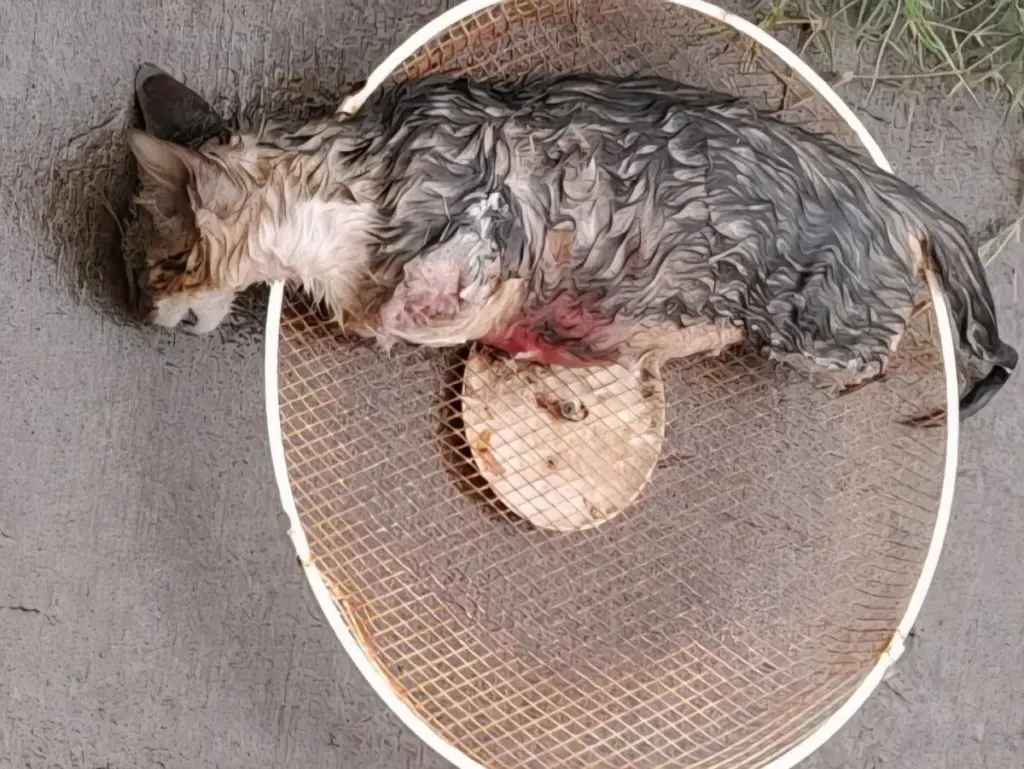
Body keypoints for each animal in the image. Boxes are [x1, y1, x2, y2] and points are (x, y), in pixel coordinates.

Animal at [125, 63, 1016, 419]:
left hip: (816, 332)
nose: (141, 314)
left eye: (163, 263)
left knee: (889, 358)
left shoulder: (490, 197)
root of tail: (903, 196)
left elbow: (427, 293)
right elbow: (406, 314)